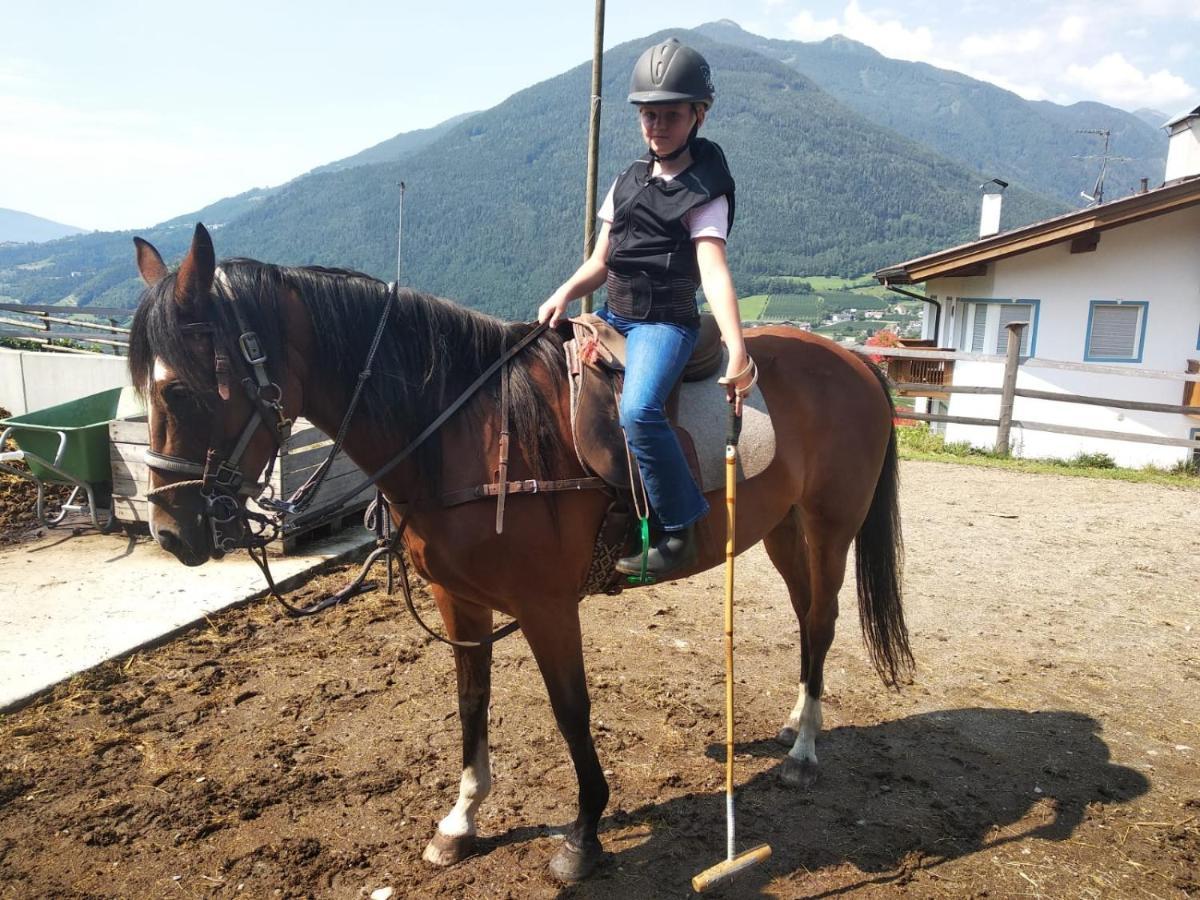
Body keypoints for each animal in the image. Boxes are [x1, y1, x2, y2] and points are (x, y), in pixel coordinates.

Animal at [129, 224, 907, 883]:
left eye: (179, 389)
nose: (171, 532)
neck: (466, 431)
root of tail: (854, 362)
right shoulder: (459, 600)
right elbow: (471, 701)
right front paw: (461, 820)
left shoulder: (547, 606)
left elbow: (571, 710)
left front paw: (584, 836)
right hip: (782, 528)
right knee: (807, 616)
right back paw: (795, 722)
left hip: (828, 525)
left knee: (822, 621)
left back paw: (804, 751)